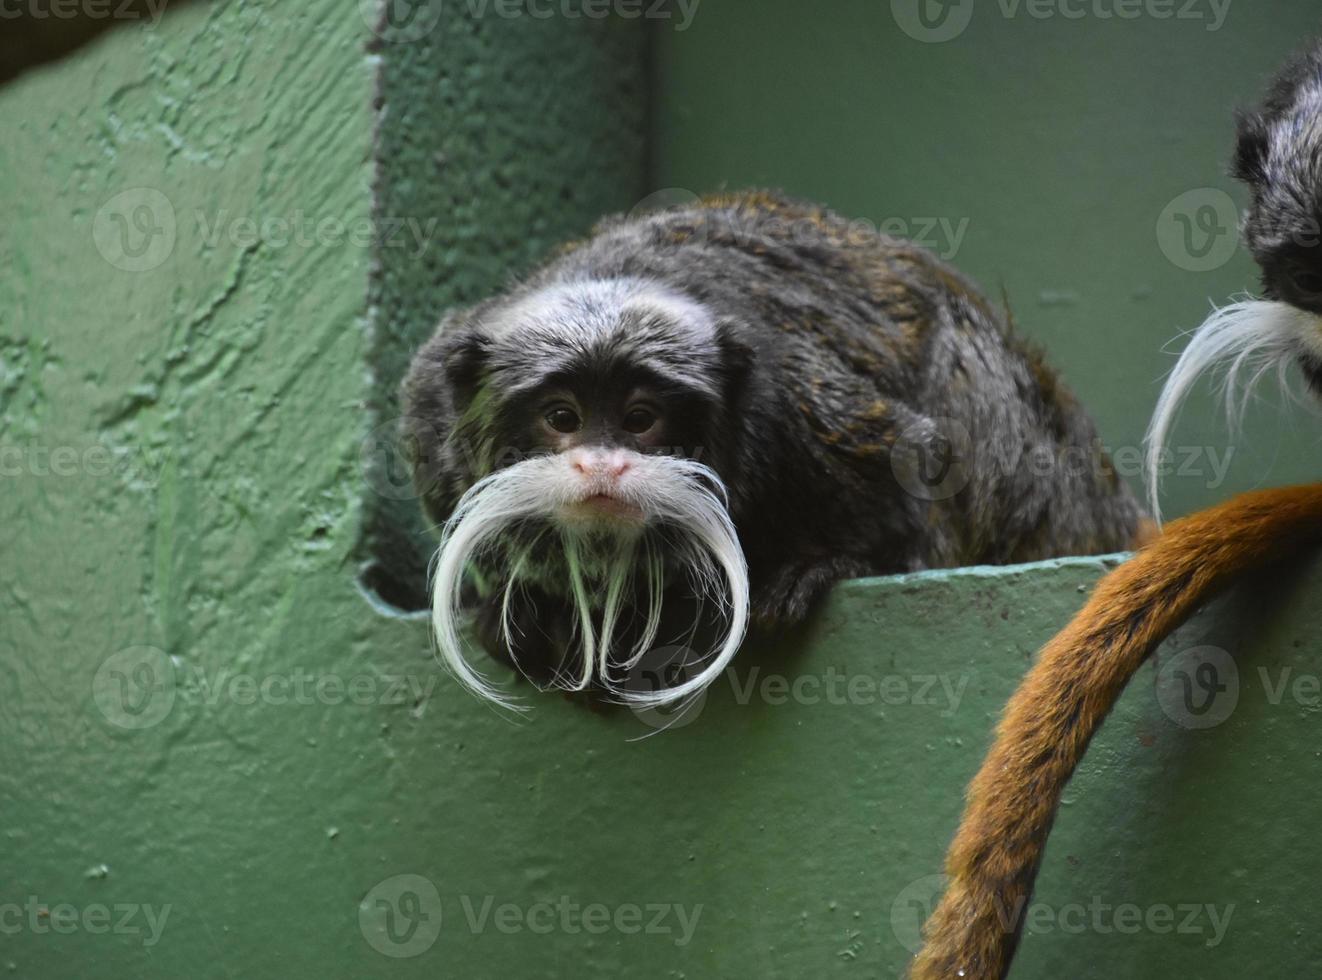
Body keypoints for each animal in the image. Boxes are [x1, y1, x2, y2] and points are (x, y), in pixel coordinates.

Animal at [399, 193, 1147, 708]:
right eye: (563, 418)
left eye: (641, 419)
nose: (602, 464)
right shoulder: (431, 424)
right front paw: (521, 606)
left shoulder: (799, 404)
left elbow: (911, 463)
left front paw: (819, 566)